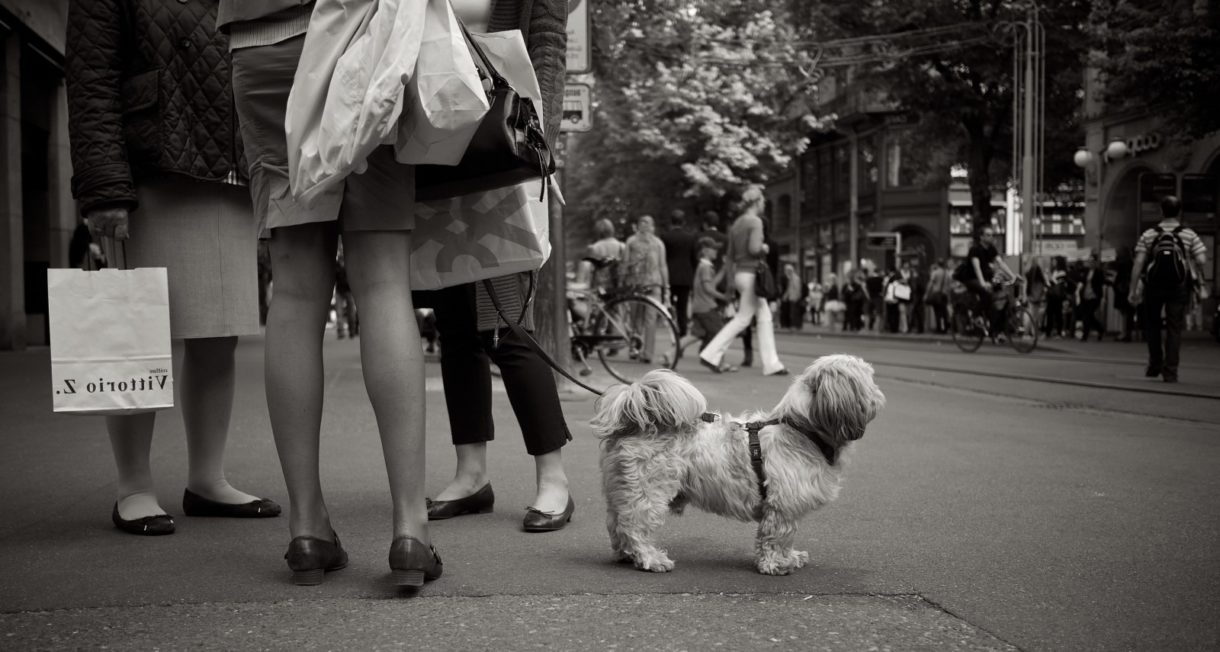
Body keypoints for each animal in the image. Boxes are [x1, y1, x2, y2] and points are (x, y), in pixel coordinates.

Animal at [588, 358, 883, 578]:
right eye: (869, 379)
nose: (880, 396)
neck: (801, 429)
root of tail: (636, 423)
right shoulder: (781, 507)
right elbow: (777, 537)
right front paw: (776, 564)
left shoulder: (784, 508)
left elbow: (784, 538)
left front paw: (791, 557)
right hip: (649, 492)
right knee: (634, 527)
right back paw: (650, 558)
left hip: (625, 490)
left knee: (616, 524)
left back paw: (627, 555)